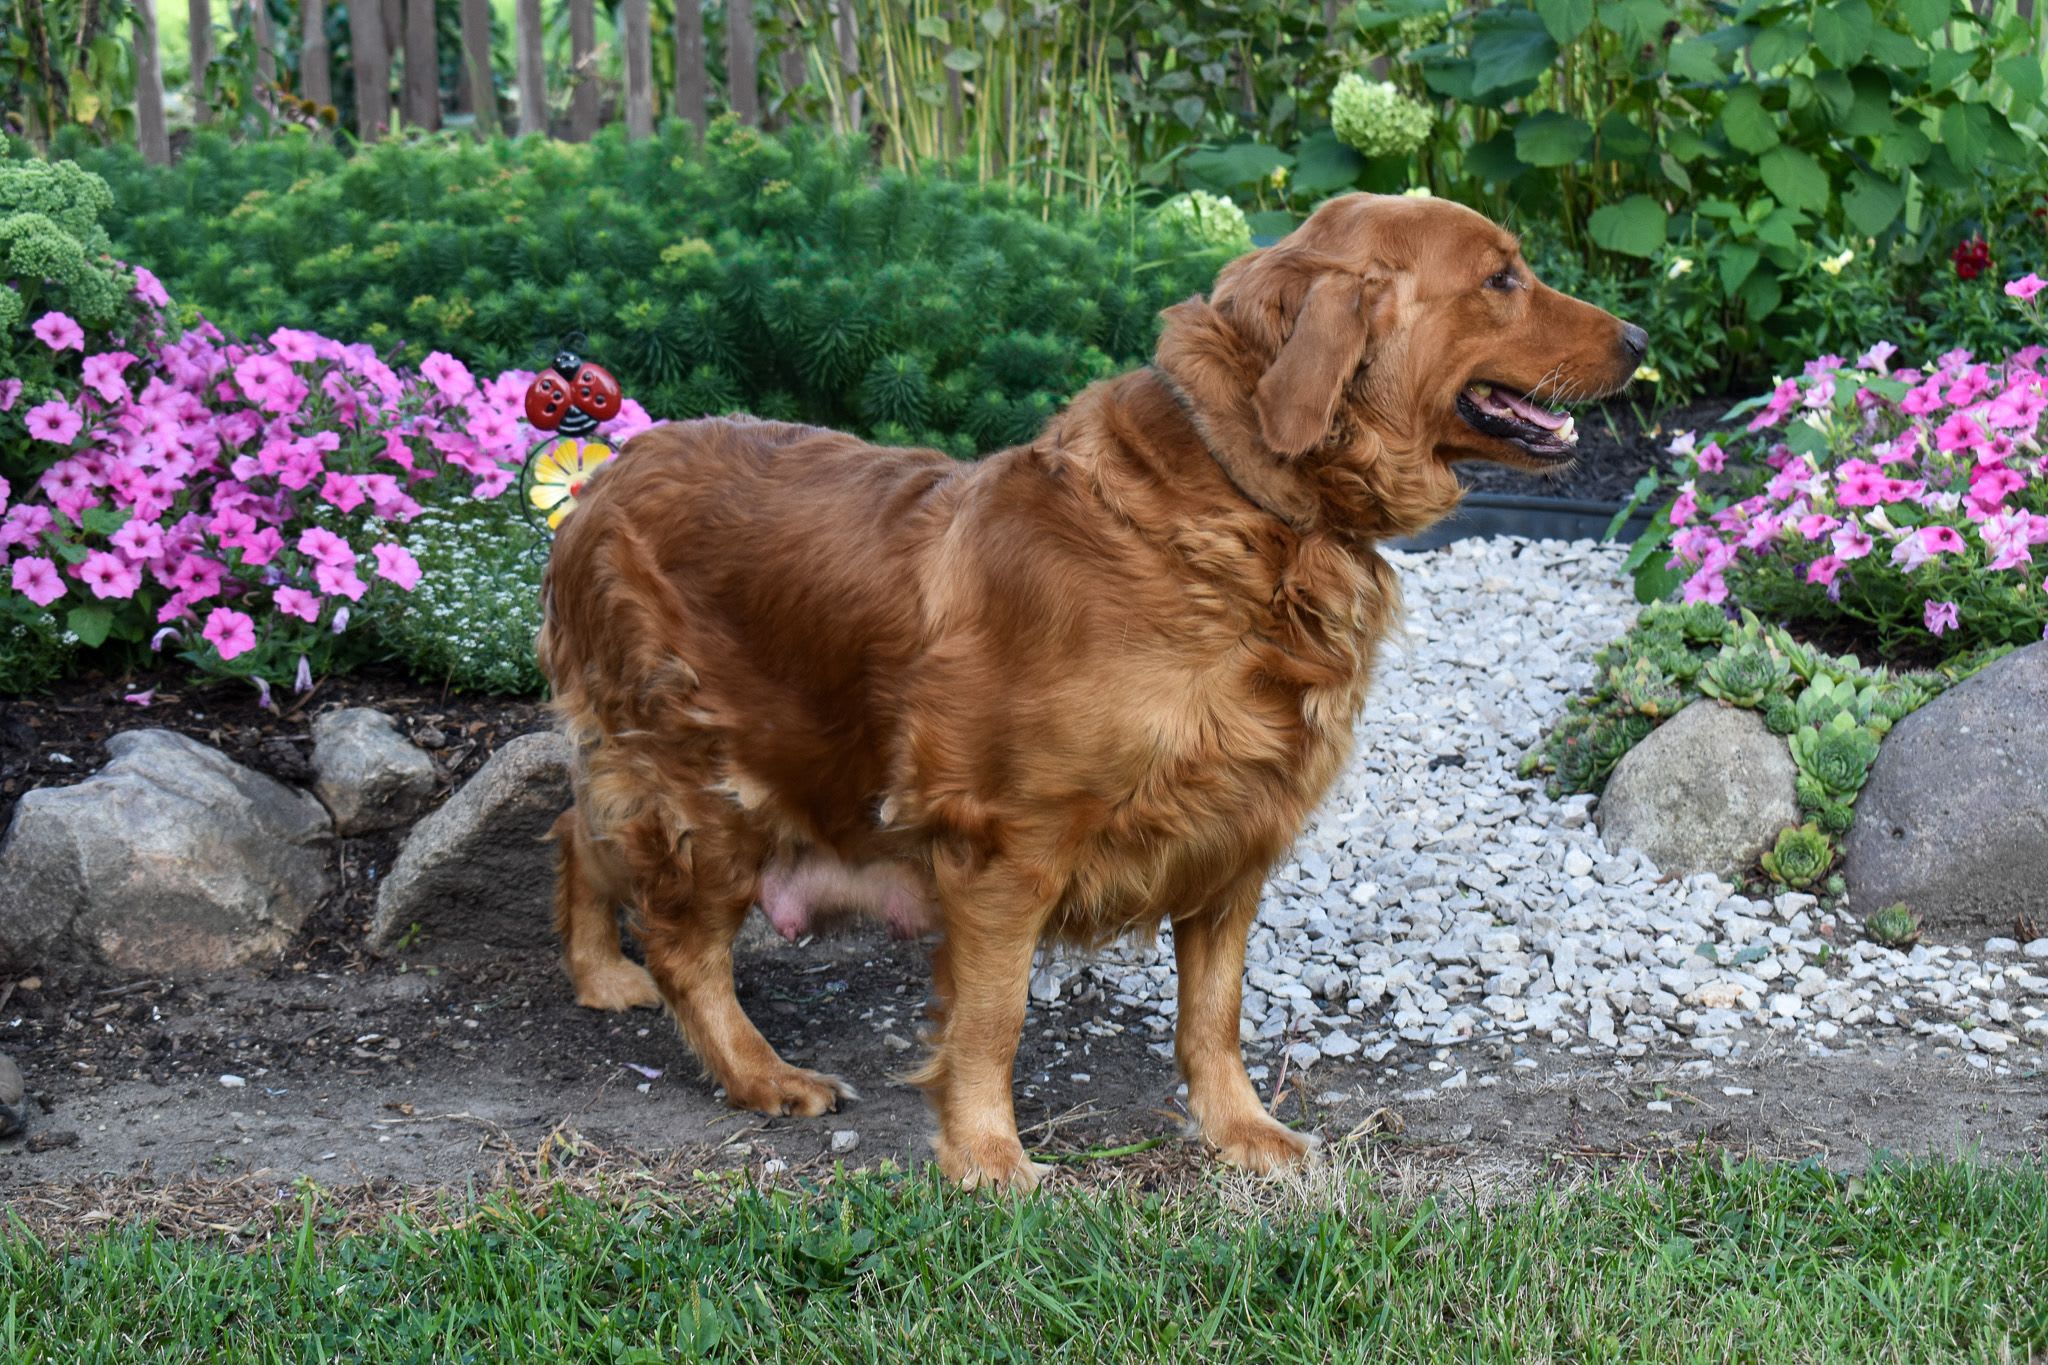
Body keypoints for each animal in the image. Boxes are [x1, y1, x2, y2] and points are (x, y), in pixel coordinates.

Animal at [532, 189, 1646, 1186]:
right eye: (1501, 277)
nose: (1638, 336)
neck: (1247, 510)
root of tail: (607, 473)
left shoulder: (1237, 832)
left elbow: (1212, 1015)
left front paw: (1239, 1131)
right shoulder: (1005, 845)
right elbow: (992, 1018)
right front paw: (986, 1157)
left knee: (575, 828)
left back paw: (598, 974)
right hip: (704, 788)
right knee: (684, 945)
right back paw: (762, 1073)